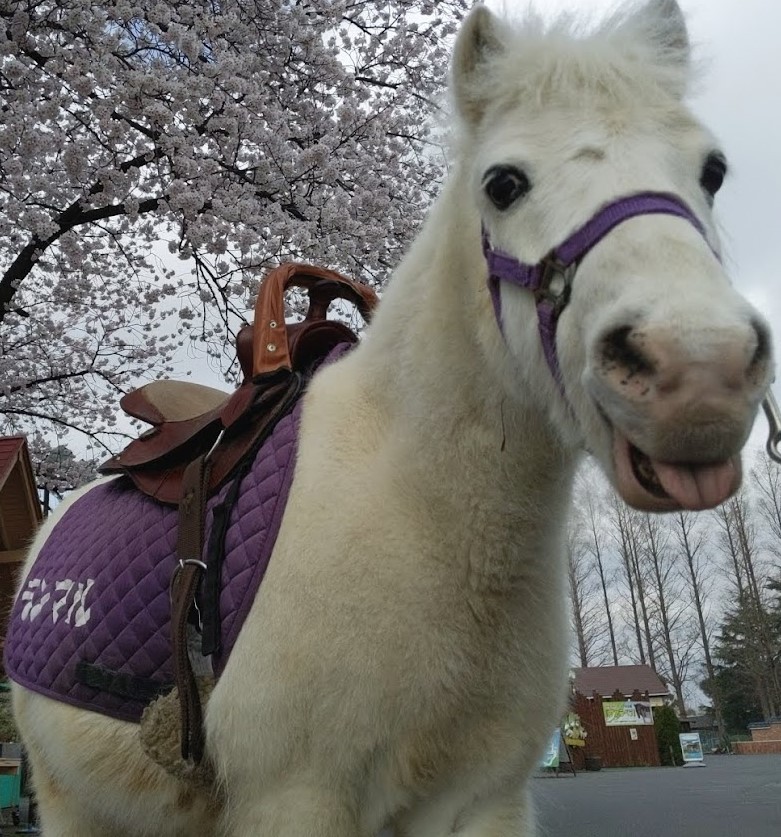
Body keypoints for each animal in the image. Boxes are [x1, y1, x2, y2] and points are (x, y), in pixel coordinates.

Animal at [7, 1, 774, 834]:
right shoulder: (298, 796)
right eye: (502, 183)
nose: (697, 370)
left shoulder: (486, 799)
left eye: (711, 171)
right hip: (71, 801)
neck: (423, 516)